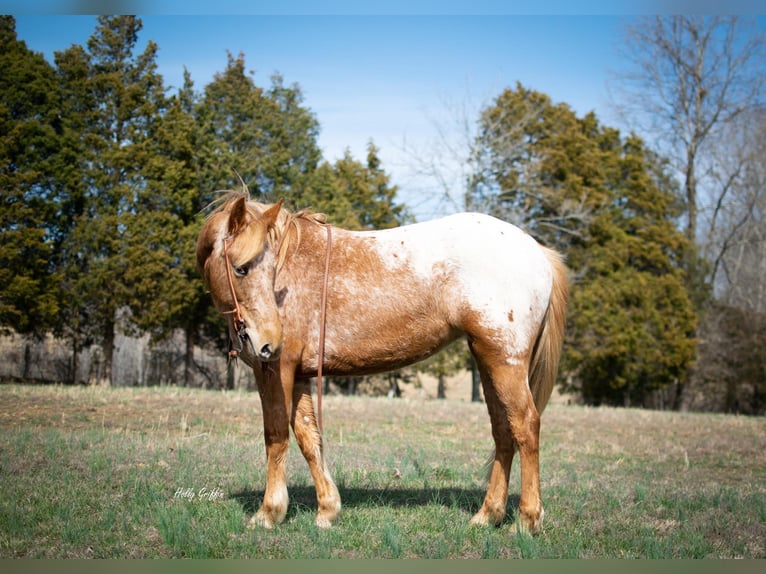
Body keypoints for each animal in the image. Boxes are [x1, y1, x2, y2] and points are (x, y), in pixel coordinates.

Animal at [196, 192, 568, 536]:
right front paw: (327, 510)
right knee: (504, 431)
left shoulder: (275, 368)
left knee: (525, 426)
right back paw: (487, 516)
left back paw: (527, 520)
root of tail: (537, 252)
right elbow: (308, 438)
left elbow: (275, 436)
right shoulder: (299, 373)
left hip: (505, 363)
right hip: (488, 361)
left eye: (257, 268)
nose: (269, 340)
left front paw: (268, 513)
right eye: (242, 268)